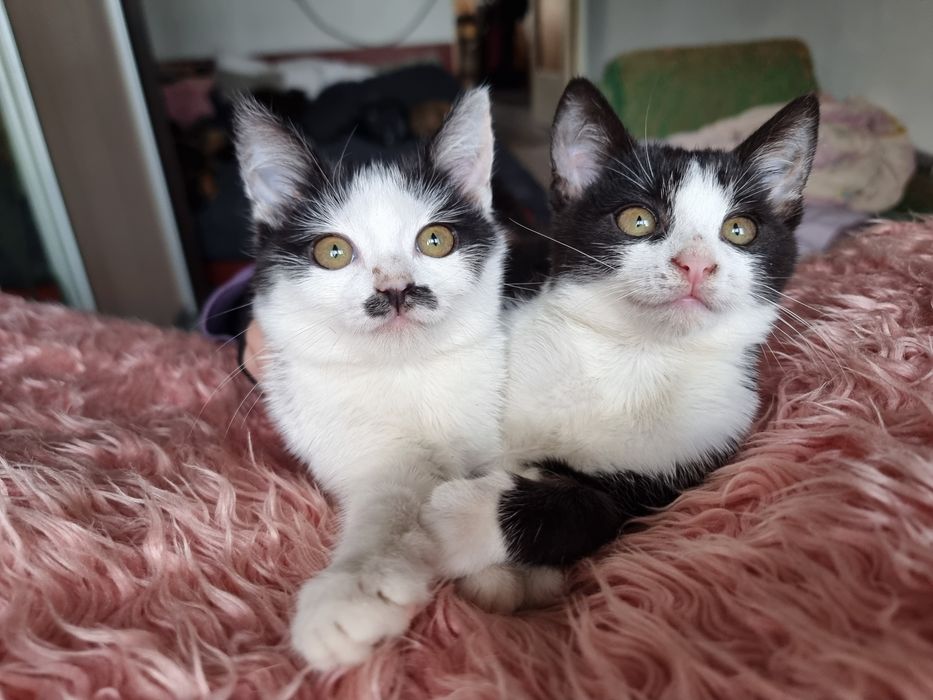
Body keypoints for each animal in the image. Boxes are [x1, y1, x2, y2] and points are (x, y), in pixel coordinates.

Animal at [233, 88, 507, 669]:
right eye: (333, 251)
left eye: (435, 240)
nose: (397, 289)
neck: (405, 374)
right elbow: (390, 495)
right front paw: (354, 587)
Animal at [422, 78, 819, 612]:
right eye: (637, 220)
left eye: (740, 229)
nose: (696, 264)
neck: (636, 356)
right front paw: (498, 572)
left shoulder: (695, 456)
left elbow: (596, 505)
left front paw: (461, 518)